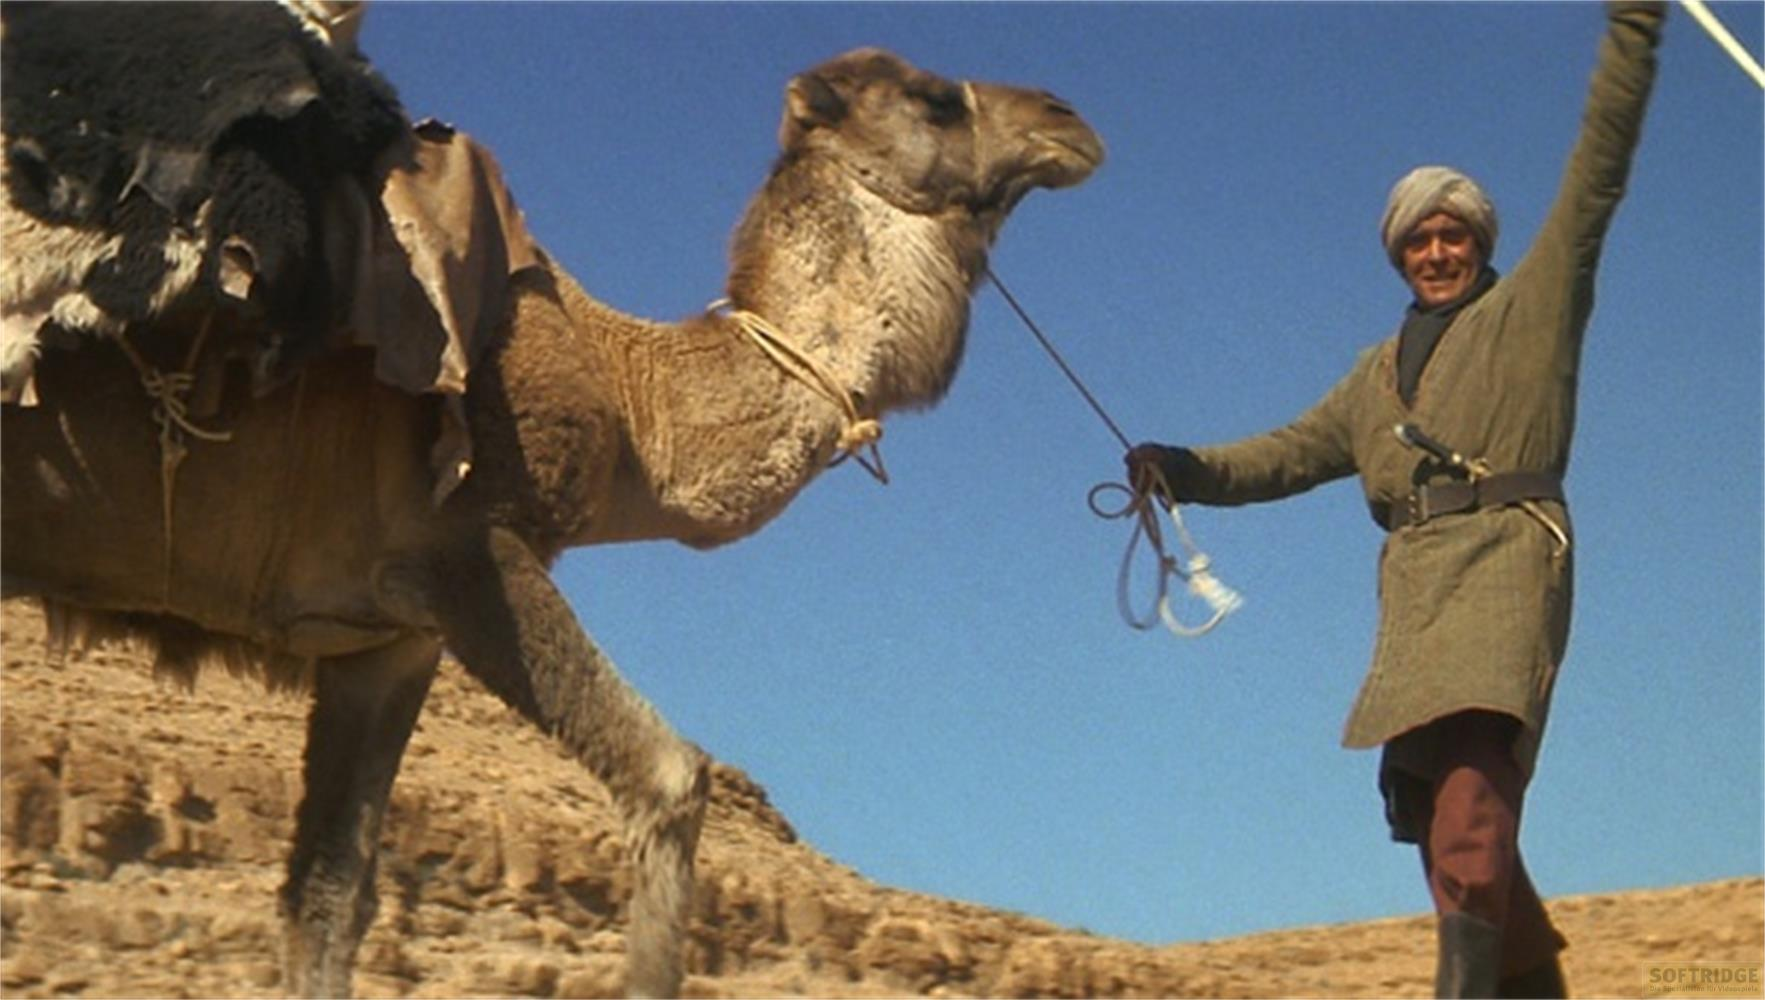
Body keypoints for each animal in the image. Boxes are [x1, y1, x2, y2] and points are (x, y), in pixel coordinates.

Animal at [0, 39, 1103, 999]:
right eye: (935, 99)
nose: (1069, 118)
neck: (628, 393)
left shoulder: (382, 639)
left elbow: (327, 896)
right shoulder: (467, 542)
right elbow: (670, 776)